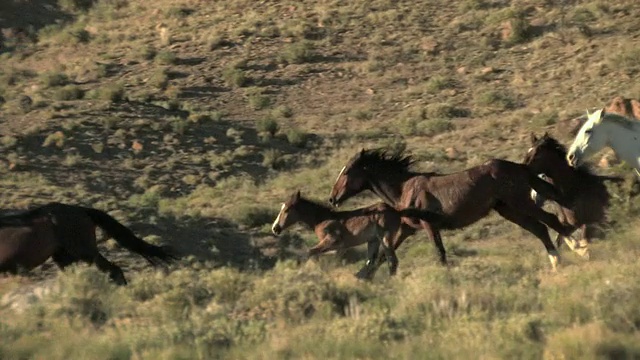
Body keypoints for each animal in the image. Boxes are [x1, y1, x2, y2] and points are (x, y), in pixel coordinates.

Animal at [270, 191, 444, 278]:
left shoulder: (333, 240)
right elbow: (334, 260)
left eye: (287, 210)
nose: (275, 228)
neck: (322, 219)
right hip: (373, 241)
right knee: (372, 262)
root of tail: (396, 210)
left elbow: (310, 252)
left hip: (385, 237)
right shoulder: (340, 247)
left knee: (391, 261)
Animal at [330, 147, 576, 276]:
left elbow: (440, 253)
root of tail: (521, 167)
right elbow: (383, 255)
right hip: (508, 210)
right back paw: (557, 262)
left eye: (347, 172)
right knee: (540, 228)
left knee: (550, 220)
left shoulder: (430, 226)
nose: (332, 199)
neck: (404, 188)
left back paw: (577, 248)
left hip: (519, 203)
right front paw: (365, 277)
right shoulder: (408, 229)